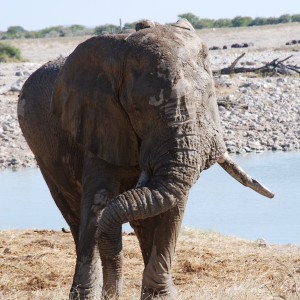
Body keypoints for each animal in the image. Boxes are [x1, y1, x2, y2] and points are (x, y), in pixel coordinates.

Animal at [17, 19, 274, 298]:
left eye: (209, 99)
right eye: (137, 110)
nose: (112, 294)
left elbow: (170, 210)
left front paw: (159, 296)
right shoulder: (97, 123)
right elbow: (97, 202)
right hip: (43, 154)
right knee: (75, 215)